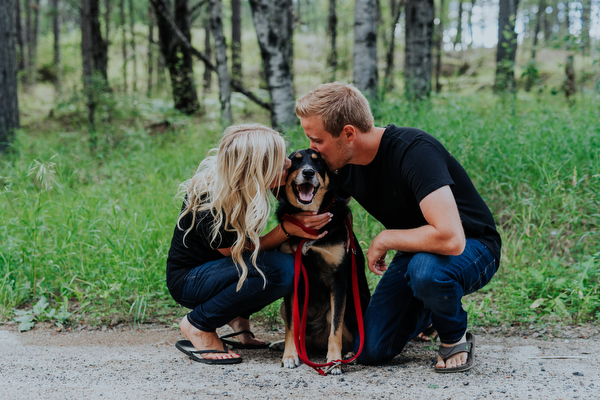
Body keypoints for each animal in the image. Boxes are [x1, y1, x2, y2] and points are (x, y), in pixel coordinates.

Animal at [276, 148, 370, 374]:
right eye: (295, 161)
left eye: (319, 163)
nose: (308, 172)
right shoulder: (293, 281)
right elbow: (291, 326)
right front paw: (290, 355)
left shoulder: (339, 281)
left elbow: (335, 329)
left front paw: (334, 361)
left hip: (354, 306)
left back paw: (348, 355)